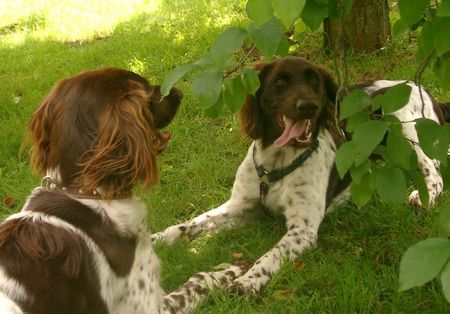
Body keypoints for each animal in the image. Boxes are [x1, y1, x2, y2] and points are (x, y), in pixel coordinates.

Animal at [0, 69, 243, 314]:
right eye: (147, 92)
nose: (179, 92)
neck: (85, 192)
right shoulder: (148, 307)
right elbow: (199, 279)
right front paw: (228, 272)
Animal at [152, 56, 450, 294]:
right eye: (280, 82)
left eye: (314, 81)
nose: (308, 106)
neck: (276, 162)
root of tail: (422, 88)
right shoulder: (241, 207)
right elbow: (190, 223)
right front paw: (157, 238)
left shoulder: (302, 229)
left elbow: (269, 257)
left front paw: (247, 281)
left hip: (404, 122)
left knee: (434, 172)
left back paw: (422, 197)